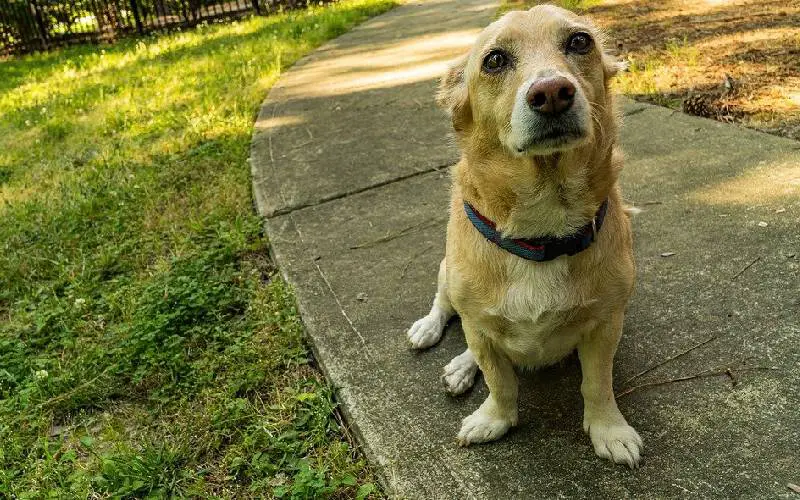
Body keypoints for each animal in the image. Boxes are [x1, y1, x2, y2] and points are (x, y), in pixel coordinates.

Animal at [406, 4, 644, 468]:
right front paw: (494, 418)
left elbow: (597, 384)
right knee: (447, 309)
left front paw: (608, 429)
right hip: (447, 275)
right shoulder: (481, 329)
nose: (552, 92)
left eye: (580, 41)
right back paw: (438, 340)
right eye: (494, 60)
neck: (542, 232)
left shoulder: (605, 327)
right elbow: (500, 381)